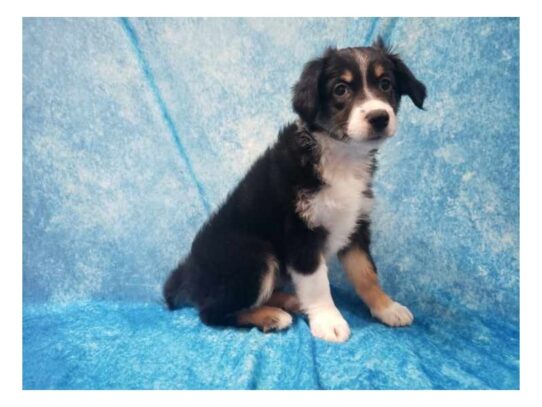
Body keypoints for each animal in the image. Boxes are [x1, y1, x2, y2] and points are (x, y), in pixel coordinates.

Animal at [164, 39, 428, 344]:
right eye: (340, 89)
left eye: (385, 84)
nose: (379, 117)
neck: (341, 156)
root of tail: (188, 272)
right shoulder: (300, 232)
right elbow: (317, 283)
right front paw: (329, 322)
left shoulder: (355, 224)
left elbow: (366, 273)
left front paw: (387, 308)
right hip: (254, 254)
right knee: (211, 313)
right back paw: (271, 316)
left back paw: (290, 302)